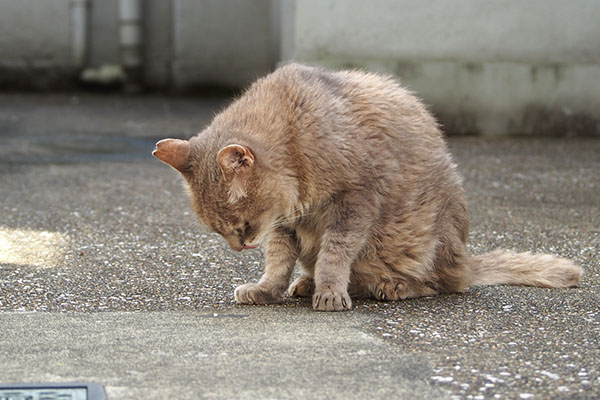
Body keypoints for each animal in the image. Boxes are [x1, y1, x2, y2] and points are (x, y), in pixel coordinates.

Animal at [154, 63, 580, 312]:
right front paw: (267, 289)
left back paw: (391, 286)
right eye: (219, 231)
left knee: (443, 283)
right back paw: (306, 283)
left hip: (420, 238)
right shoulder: (284, 225)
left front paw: (329, 291)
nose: (239, 247)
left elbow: (335, 253)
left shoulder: (355, 202)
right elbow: (277, 262)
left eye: (241, 225)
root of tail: (465, 257)